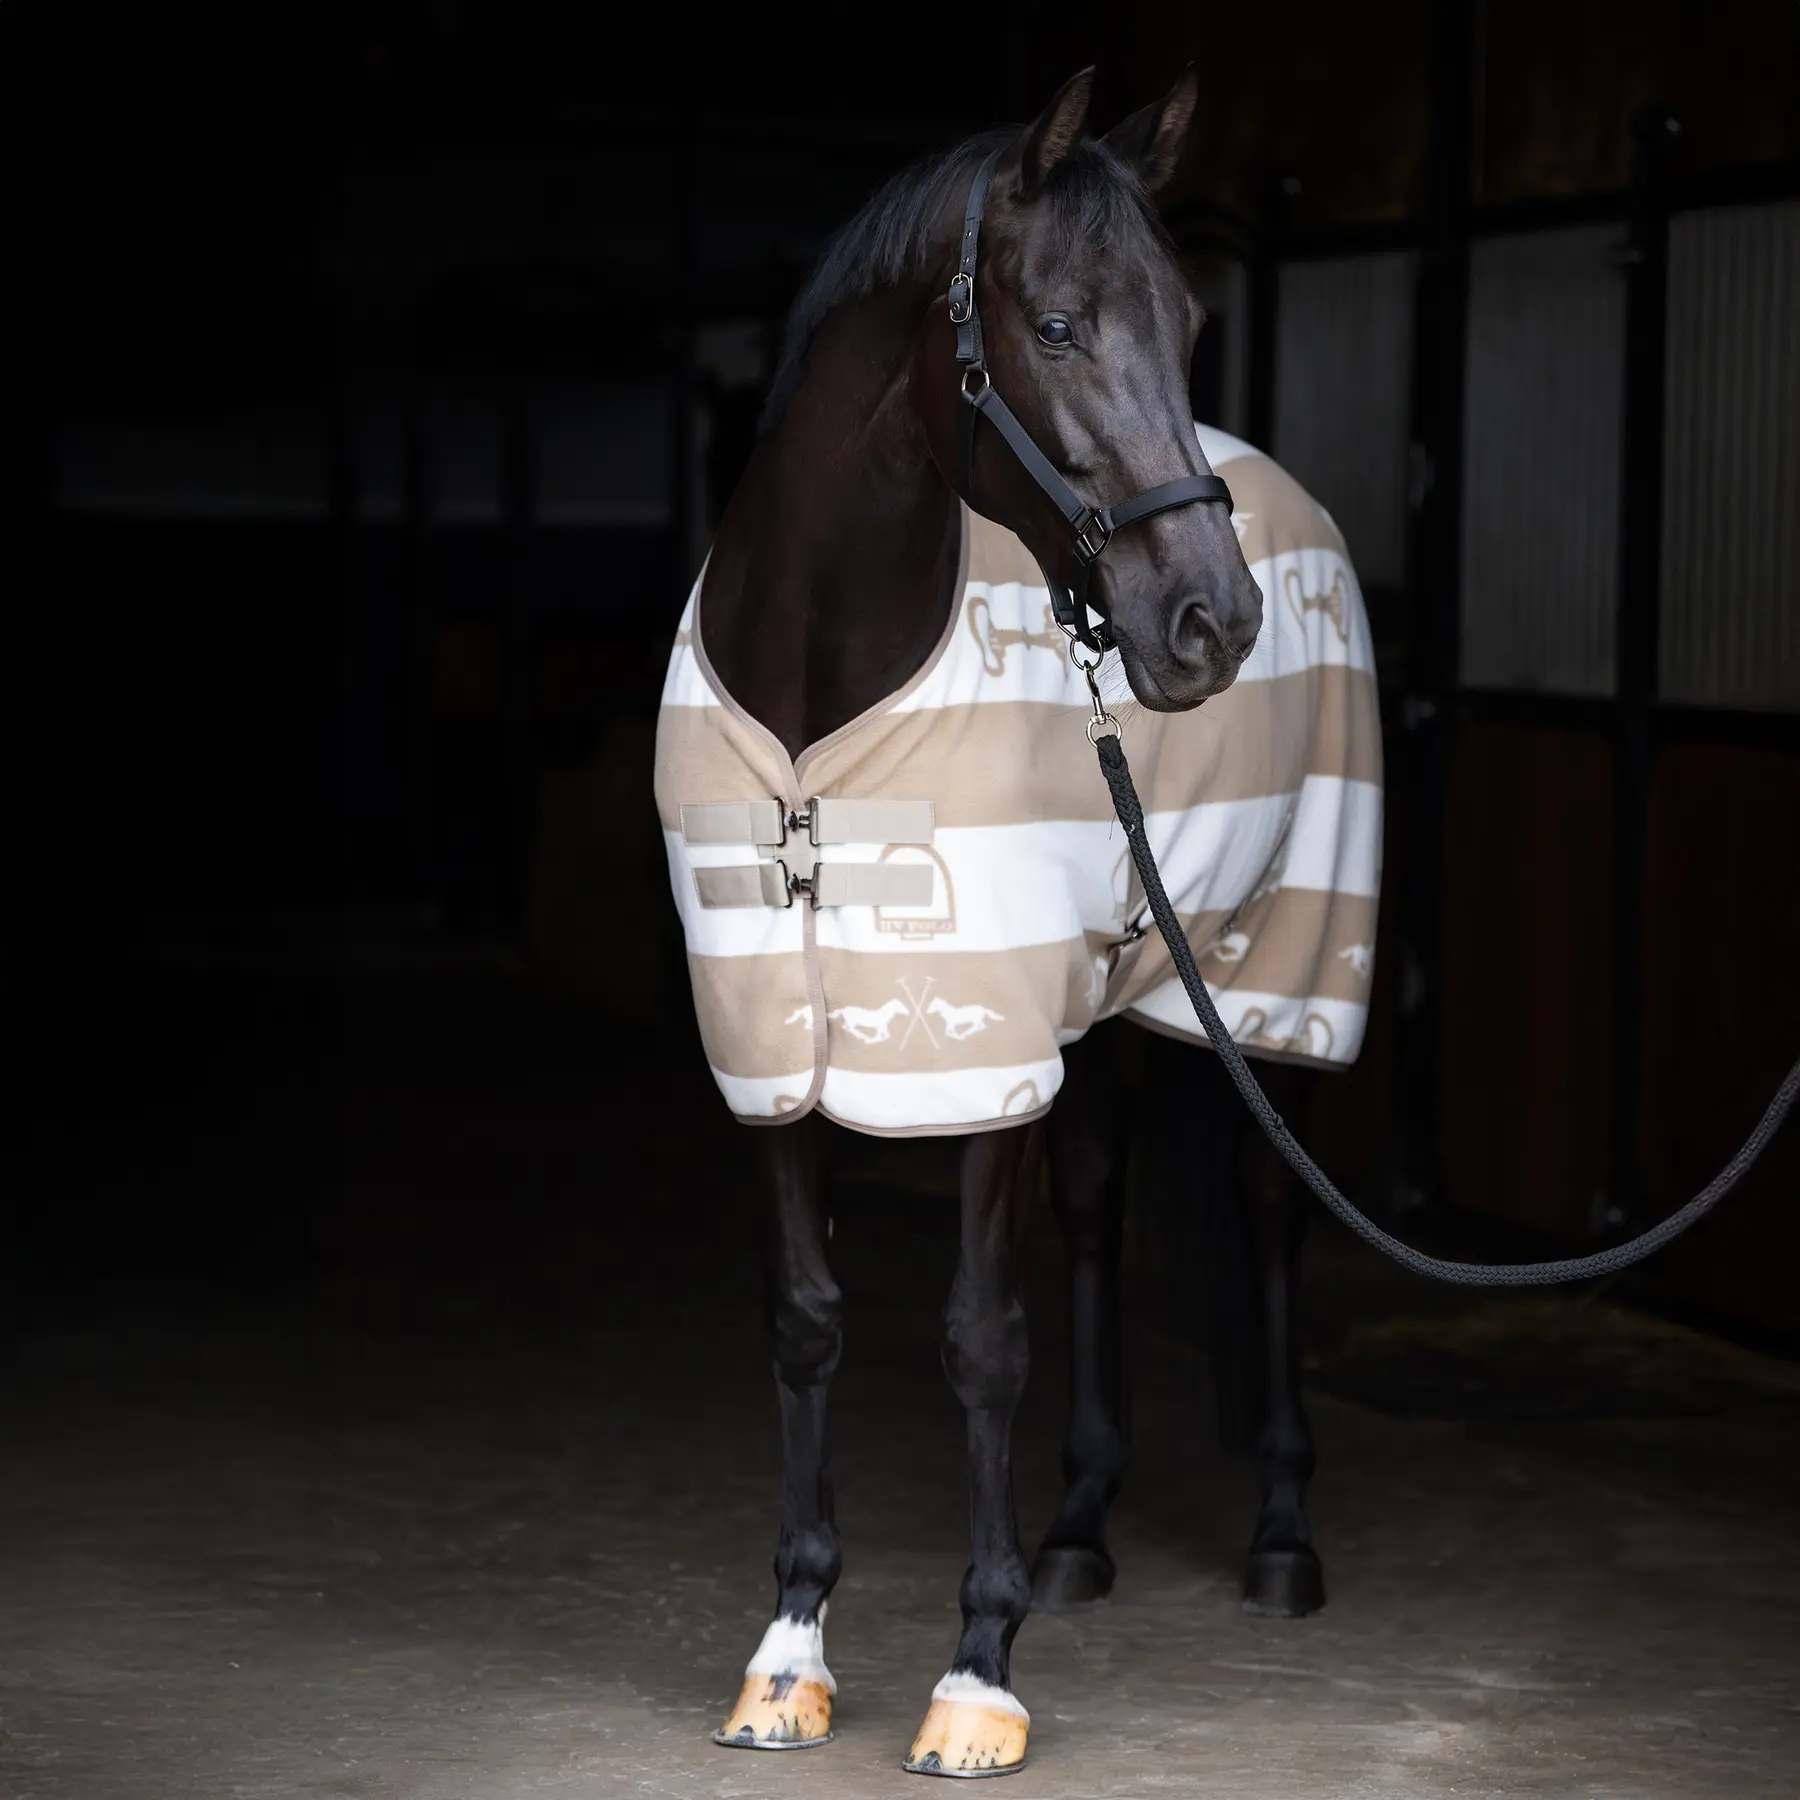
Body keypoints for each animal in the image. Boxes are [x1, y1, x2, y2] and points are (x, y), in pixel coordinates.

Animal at [654, 67, 1379, 1775]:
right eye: (1054, 325)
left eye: (1190, 320)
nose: (1211, 625)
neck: (818, 696)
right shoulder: (771, 1043)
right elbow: (807, 1320)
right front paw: (789, 1653)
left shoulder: (980, 1057)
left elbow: (982, 1336)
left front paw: (976, 1675)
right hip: (1111, 1005)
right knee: (1106, 1211)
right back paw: (1082, 1527)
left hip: (1277, 989)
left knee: (1269, 1212)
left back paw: (1280, 1537)